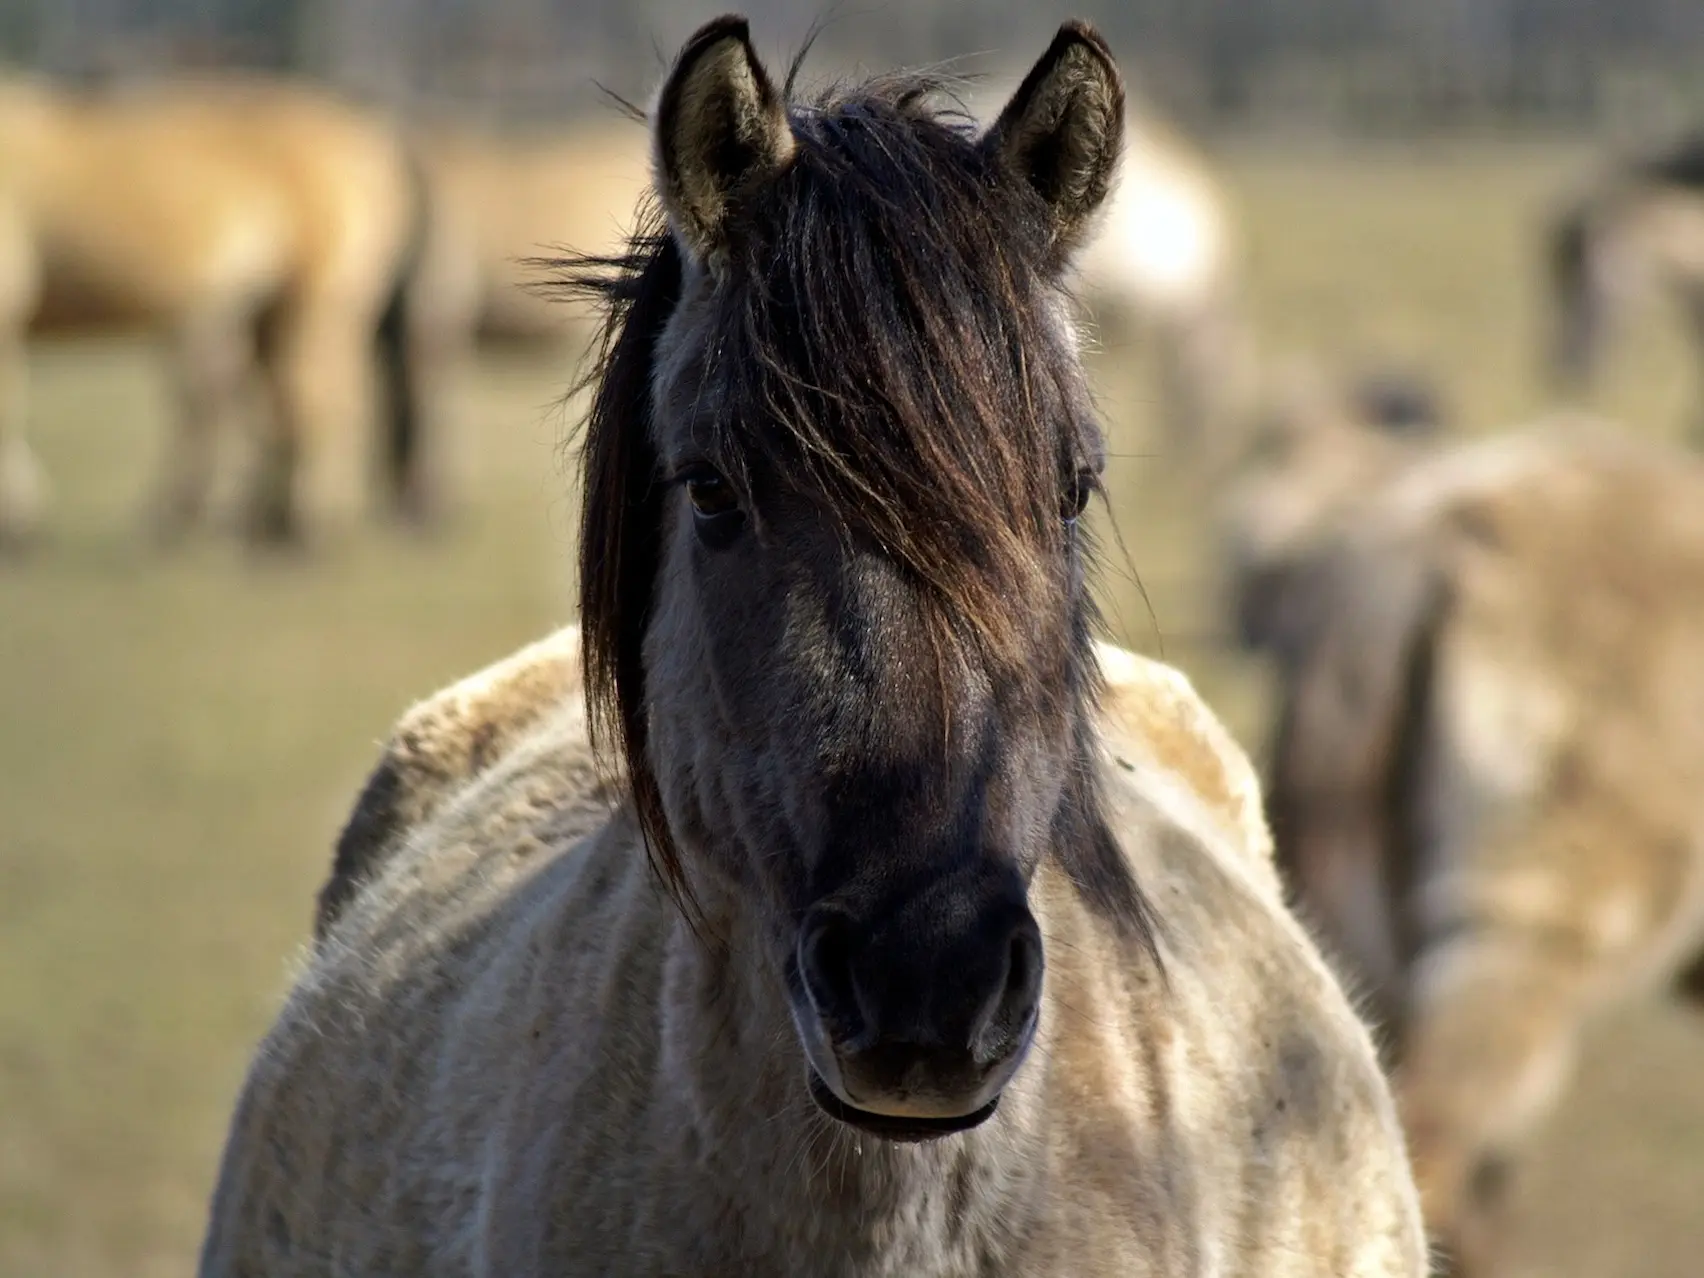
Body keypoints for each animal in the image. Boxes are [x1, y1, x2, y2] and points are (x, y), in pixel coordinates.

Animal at [0, 71, 432, 552]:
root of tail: (373, 143)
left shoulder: (8, 298)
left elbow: (7, 406)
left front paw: (18, 521)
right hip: (278, 316)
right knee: (291, 405)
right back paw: (267, 521)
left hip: (313, 305)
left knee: (316, 401)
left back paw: (299, 526)